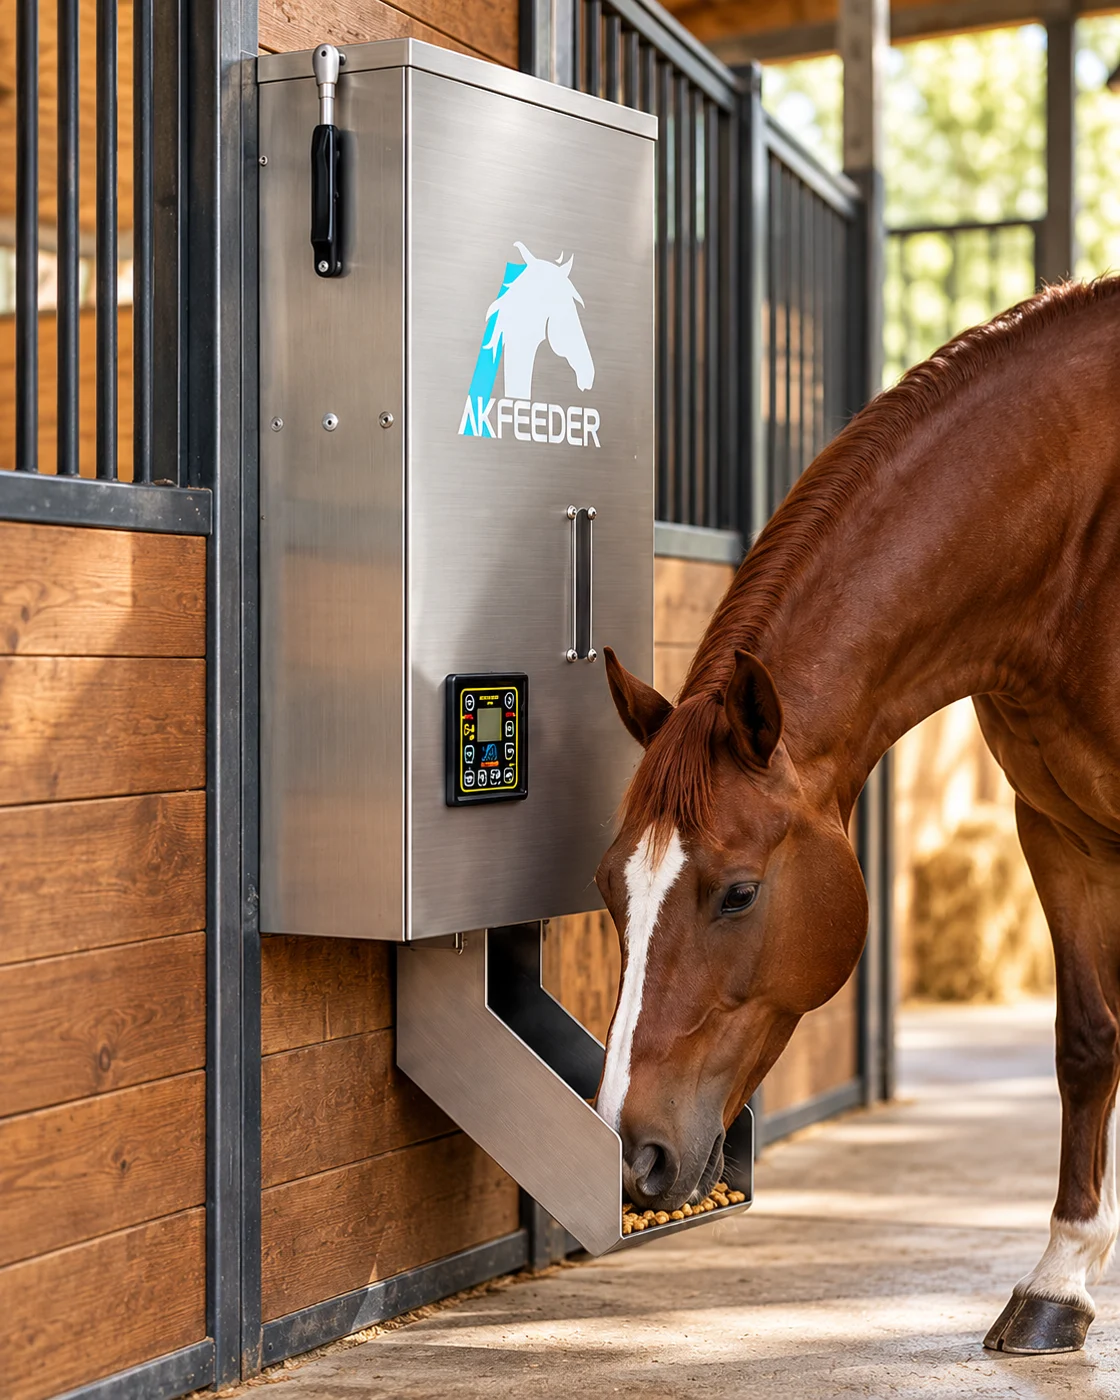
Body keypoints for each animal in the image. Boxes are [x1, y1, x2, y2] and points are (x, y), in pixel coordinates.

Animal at [594, 276, 1120, 1356]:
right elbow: (1088, 1041)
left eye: (738, 892)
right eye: (609, 889)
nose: (632, 1155)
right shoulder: (1059, 830)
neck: (1084, 542)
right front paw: (1059, 1281)